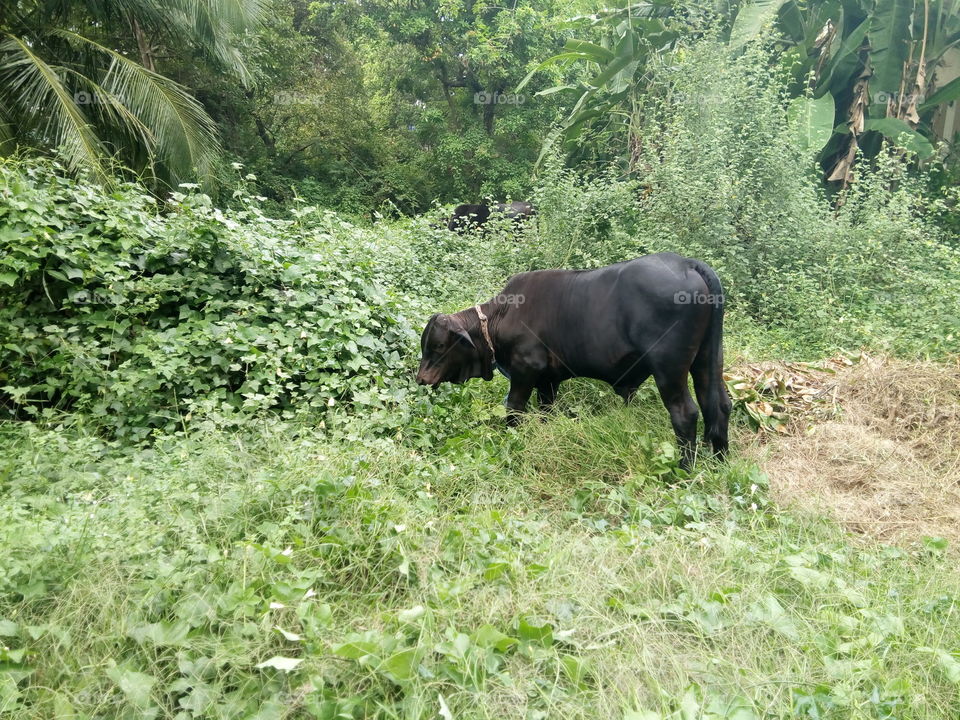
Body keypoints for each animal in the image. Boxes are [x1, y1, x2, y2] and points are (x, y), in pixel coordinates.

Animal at [416, 253, 731, 470]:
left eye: (438, 345)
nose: (421, 378)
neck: (501, 315)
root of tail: (686, 263)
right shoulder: (547, 382)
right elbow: (545, 411)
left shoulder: (525, 372)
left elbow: (514, 409)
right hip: (708, 360)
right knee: (718, 405)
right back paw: (720, 460)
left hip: (669, 369)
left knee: (686, 413)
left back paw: (685, 469)